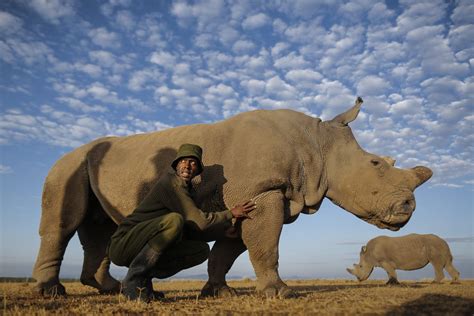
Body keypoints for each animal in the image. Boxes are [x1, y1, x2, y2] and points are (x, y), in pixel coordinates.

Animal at [32, 97, 434, 298]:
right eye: (376, 164)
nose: (410, 207)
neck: (318, 143)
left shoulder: (255, 197)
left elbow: (229, 251)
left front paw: (218, 293)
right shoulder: (263, 191)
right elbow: (266, 246)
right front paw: (280, 294)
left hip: (88, 167)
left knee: (97, 231)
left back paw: (110, 289)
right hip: (66, 166)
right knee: (63, 225)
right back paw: (53, 294)